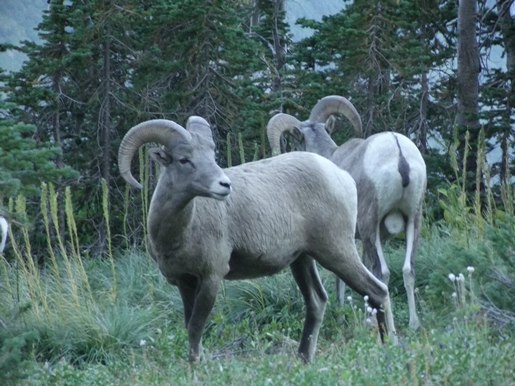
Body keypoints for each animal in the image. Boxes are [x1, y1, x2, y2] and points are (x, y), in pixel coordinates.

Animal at [119, 114, 398, 362]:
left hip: (336, 251)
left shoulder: (211, 278)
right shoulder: (183, 282)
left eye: (211, 155)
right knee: (317, 302)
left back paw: (391, 349)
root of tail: (342, 177)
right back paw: (303, 360)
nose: (224, 185)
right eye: (184, 159)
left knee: (377, 291)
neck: (180, 233)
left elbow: (196, 330)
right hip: (303, 260)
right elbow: (190, 329)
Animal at [266, 96, 428, 328]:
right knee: (408, 270)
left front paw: (342, 316)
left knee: (383, 274)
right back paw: (413, 324)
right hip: (413, 220)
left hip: (371, 225)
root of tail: (399, 155)